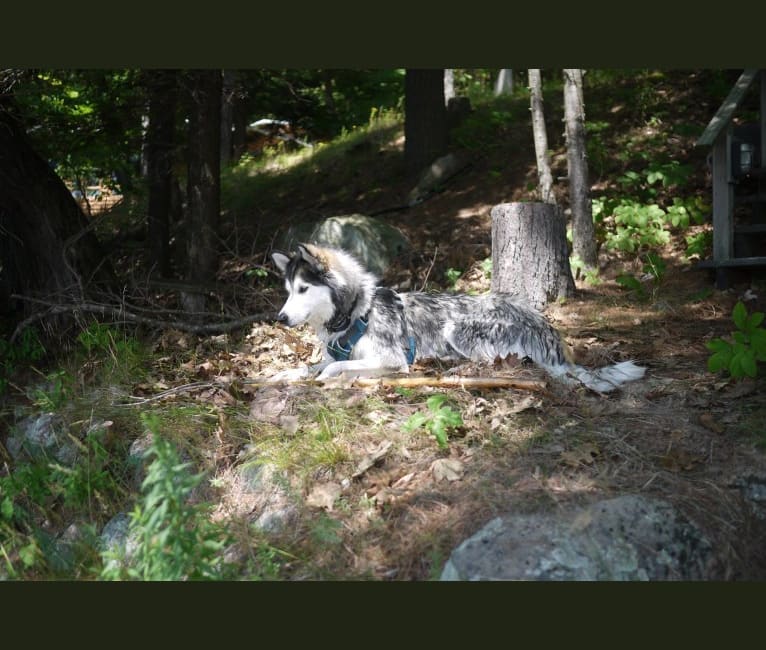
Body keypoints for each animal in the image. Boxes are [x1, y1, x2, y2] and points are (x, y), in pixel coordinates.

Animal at [272, 239, 648, 388]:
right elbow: (308, 366)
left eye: (303, 289)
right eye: (288, 290)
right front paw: (281, 375)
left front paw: (325, 378)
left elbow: (334, 367)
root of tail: (548, 328)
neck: (354, 313)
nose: (280, 319)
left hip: (456, 327)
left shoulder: (392, 360)